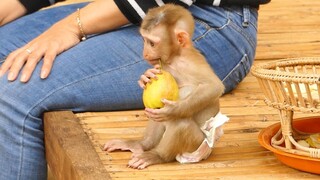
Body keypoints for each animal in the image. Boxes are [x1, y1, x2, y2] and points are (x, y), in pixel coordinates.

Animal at [104, 3, 226, 169]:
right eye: (144, 40)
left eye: (152, 43)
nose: (145, 53)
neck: (175, 57)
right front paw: (145, 76)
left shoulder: (189, 64)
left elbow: (214, 86)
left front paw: (173, 110)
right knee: (153, 113)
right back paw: (141, 144)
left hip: (197, 146)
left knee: (179, 123)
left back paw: (157, 155)